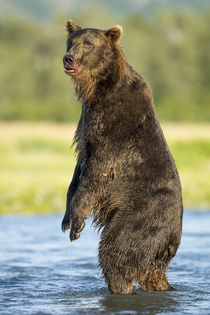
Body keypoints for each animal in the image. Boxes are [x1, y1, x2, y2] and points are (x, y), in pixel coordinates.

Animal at [60, 21, 182, 296]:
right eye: (70, 42)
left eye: (89, 44)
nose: (68, 58)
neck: (98, 88)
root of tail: (172, 239)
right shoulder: (86, 122)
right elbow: (79, 167)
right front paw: (66, 218)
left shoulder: (114, 123)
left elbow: (97, 169)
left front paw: (77, 222)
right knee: (149, 271)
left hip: (142, 217)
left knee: (116, 252)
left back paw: (119, 287)